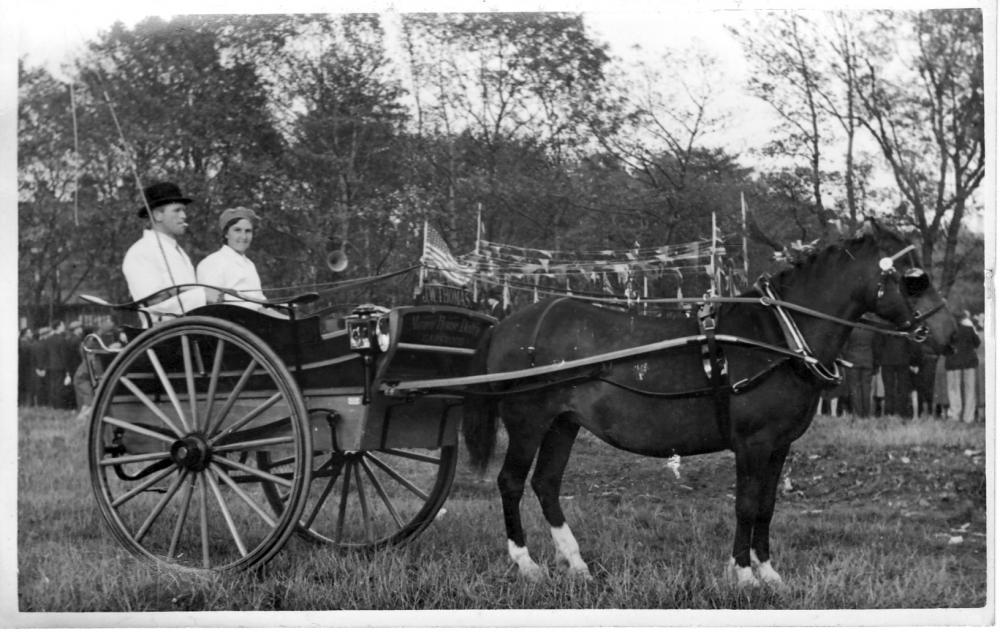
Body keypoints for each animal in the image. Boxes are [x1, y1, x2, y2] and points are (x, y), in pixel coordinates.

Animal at [464, 218, 956, 588]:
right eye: (913, 280)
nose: (950, 335)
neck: (778, 337)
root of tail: (507, 324)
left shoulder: (779, 446)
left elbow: (766, 505)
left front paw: (768, 572)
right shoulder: (753, 443)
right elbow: (745, 505)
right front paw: (742, 574)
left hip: (563, 423)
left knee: (546, 483)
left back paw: (577, 563)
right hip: (528, 421)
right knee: (511, 482)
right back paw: (526, 563)